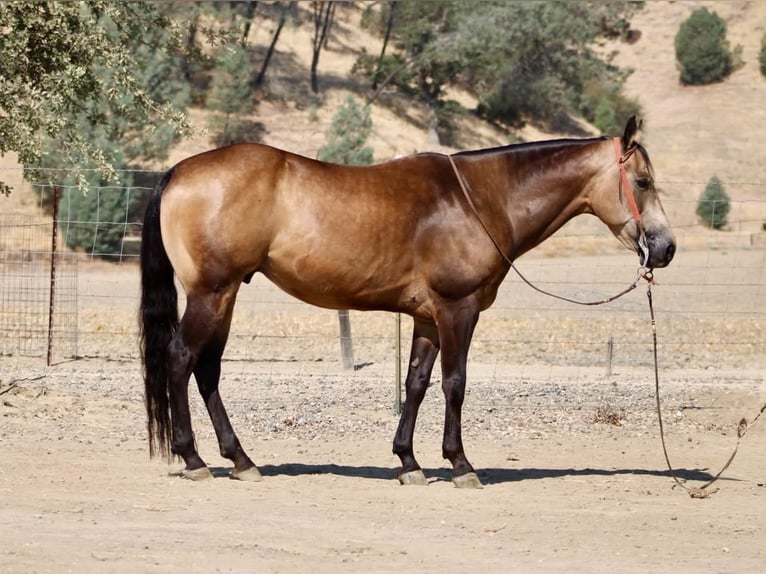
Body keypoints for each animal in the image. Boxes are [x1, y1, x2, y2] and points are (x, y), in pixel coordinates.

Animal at [140, 116, 675, 488]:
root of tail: (179, 171)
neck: (478, 200)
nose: (665, 248)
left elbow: (416, 384)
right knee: (181, 359)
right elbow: (455, 384)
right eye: (643, 182)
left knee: (207, 369)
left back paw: (241, 460)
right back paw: (194, 459)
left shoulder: (427, 318)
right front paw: (460, 464)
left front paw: (408, 462)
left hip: (225, 296)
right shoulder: (458, 310)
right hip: (211, 294)